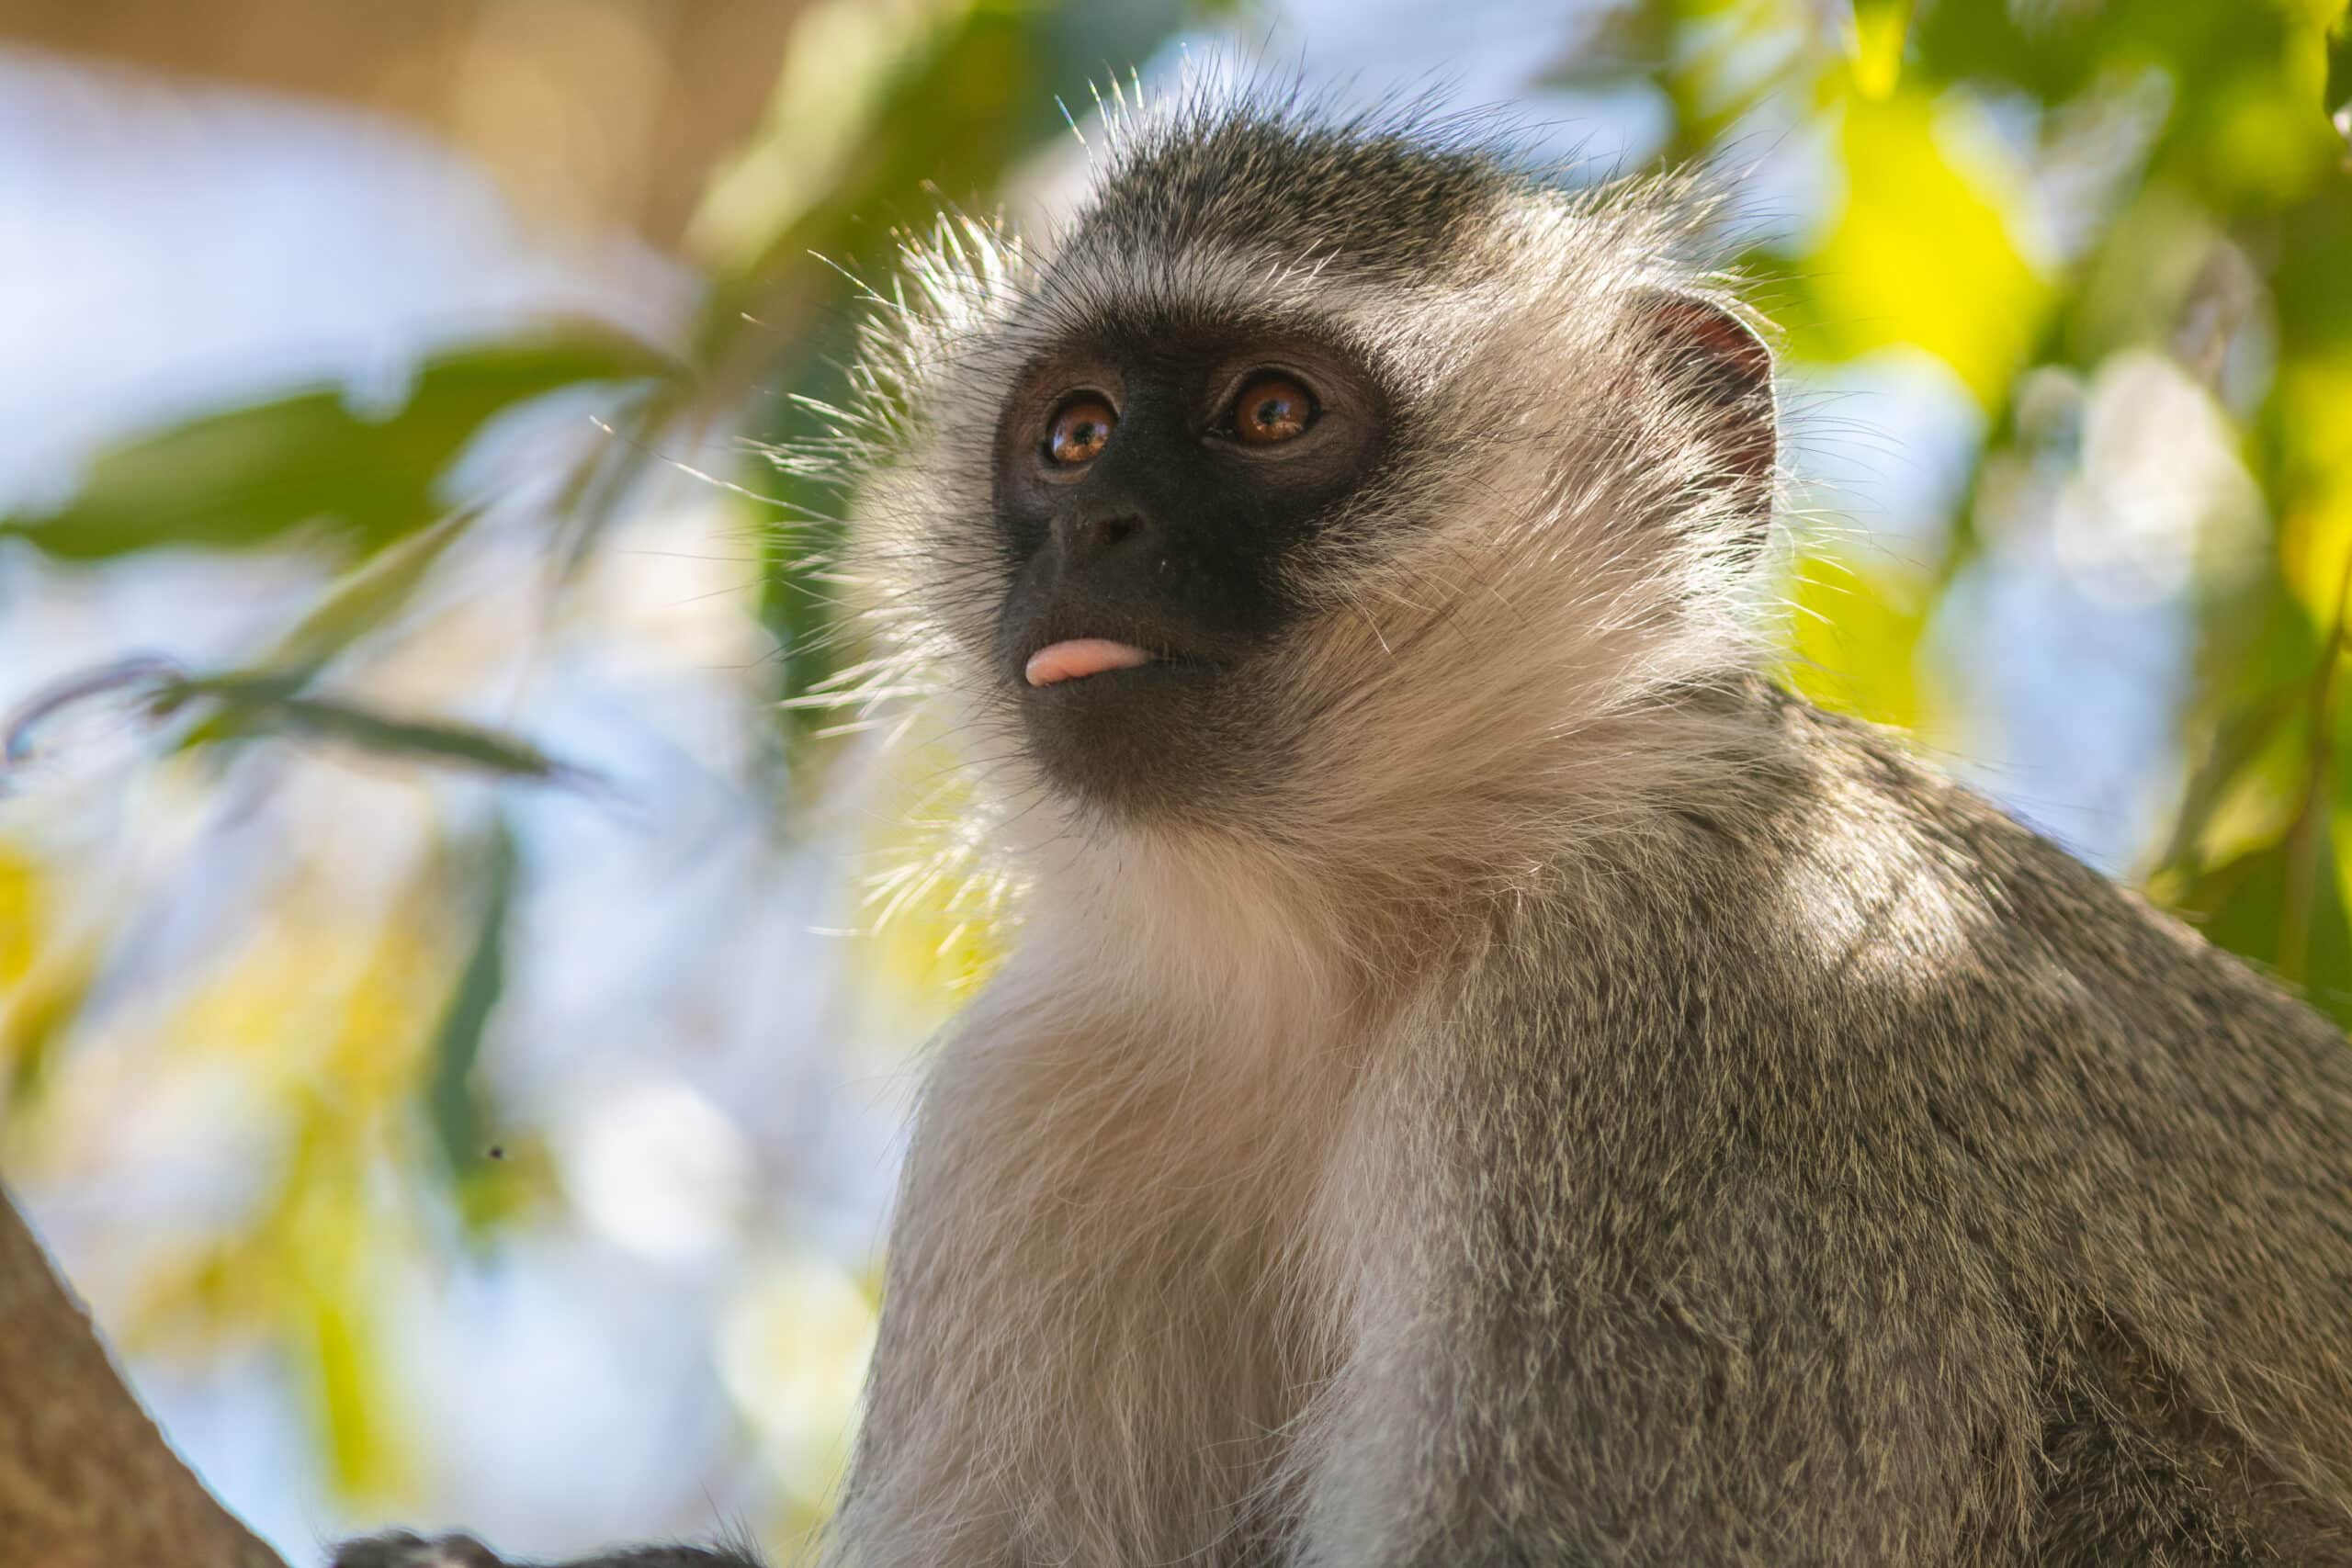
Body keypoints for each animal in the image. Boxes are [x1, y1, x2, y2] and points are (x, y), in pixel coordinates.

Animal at [340, 89, 2352, 1568]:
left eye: (1269, 410)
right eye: (1072, 436)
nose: (1096, 533)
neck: (1351, 940)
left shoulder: (1670, 1024)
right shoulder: (1040, 1094)